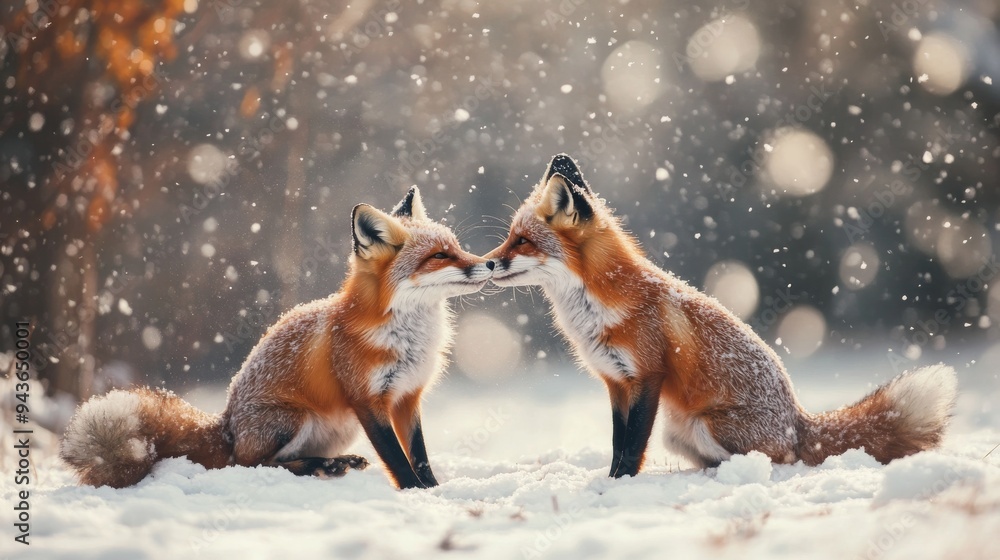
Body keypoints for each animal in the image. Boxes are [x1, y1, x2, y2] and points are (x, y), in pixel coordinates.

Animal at [60, 187, 495, 489]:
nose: (490, 263)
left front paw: (433, 490)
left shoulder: (407, 396)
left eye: (457, 248)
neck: (406, 338)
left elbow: (419, 455)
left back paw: (332, 464)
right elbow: (398, 459)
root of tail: (226, 425)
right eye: (439, 256)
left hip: (336, 428)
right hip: (291, 419)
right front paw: (414, 493)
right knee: (250, 463)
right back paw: (322, 468)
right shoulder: (368, 400)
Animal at [486, 153, 957, 477]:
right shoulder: (616, 382)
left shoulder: (648, 376)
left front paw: (620, 485)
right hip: (679, 431)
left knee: (784, 459)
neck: (599, 307)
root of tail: (800, 420)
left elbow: (633, 445)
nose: (487, 263)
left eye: (523, 241)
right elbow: (619, 442)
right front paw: (611, 481)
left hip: (705, 425)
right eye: (510, 237)